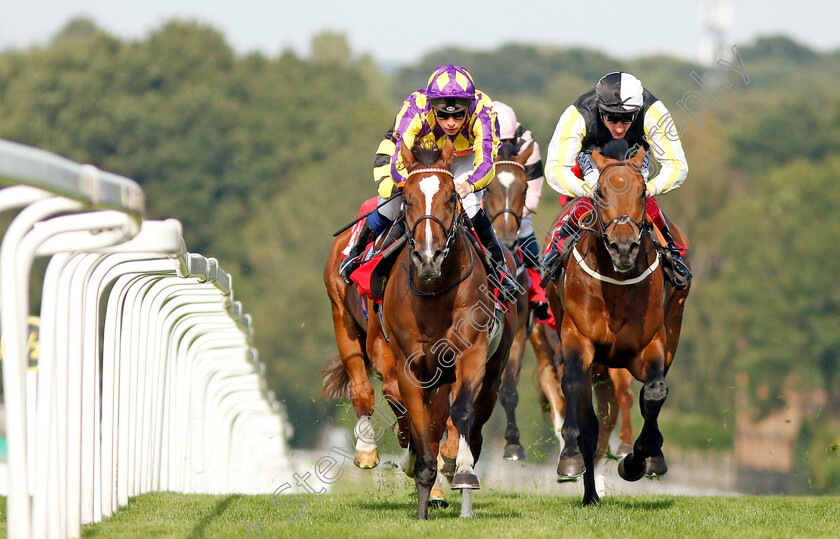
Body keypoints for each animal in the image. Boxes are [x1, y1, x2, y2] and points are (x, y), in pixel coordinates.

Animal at [384, 139, 516, 520]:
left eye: (449, 198)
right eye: (407, 198)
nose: (429, 257)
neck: (434, 293)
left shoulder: (471, 354)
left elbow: (462, 413)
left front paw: (464, 474)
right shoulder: (410, 366)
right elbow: (419, 421)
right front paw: (423, 498)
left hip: (494, 371)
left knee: (475, 422)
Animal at [548, 139, 692, 506]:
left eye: (643, 192)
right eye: (599, 192)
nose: (623, 247)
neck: (615, 282)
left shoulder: (650, 344)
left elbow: (654, 392)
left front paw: (638, 460)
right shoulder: (577, 337)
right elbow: (573, 387)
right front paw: (569, 458)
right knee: (591, 421)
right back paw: (589, 494)